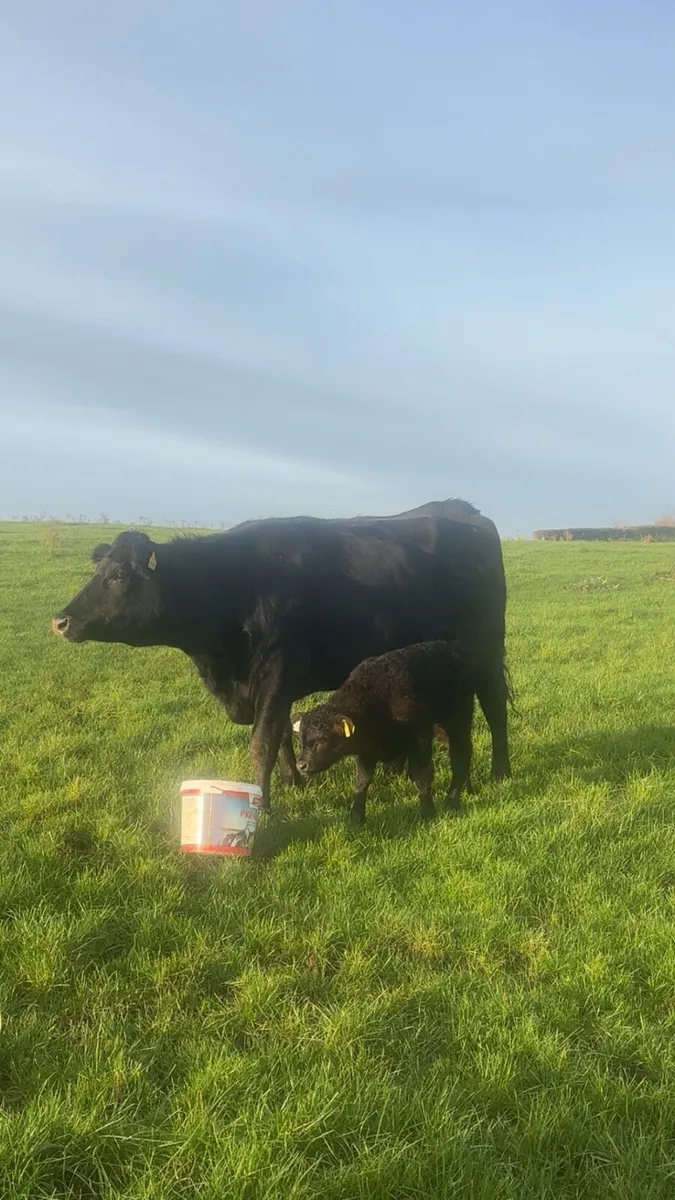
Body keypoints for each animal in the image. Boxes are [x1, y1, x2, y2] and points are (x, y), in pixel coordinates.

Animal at [292, 640, 475, 825]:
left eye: (321, 741)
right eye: (300, 741)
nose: (301, 765)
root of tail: (452, 648)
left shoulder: (419, 739)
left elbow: (421, 776)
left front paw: (428, 813)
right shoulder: (366, 752)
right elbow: (362, 781)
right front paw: (357, 817)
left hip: (458, 719)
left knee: (460, 755)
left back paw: (452, 801)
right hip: (440, 727)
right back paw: (467, 789)